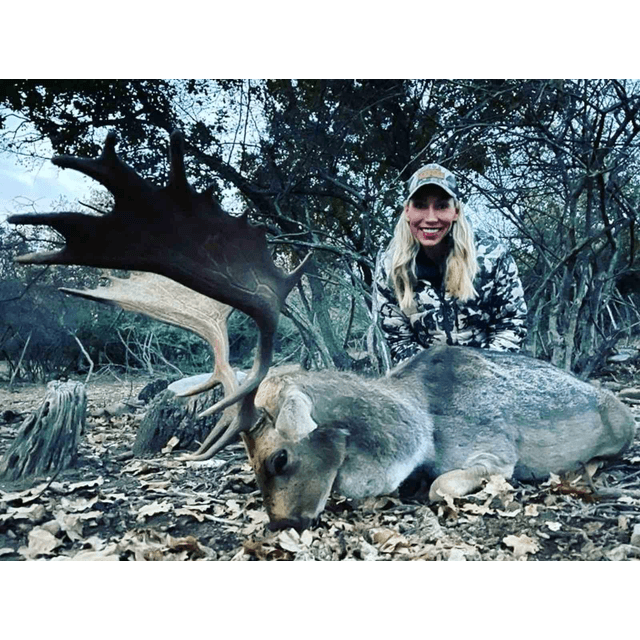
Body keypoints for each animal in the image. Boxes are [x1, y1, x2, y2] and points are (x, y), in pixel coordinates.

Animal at [8, 131, 637, 531]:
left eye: (280, 459)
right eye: (251, 468)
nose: (283, 524)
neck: (424, 422)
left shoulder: (494, 449)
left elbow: (441, 484)